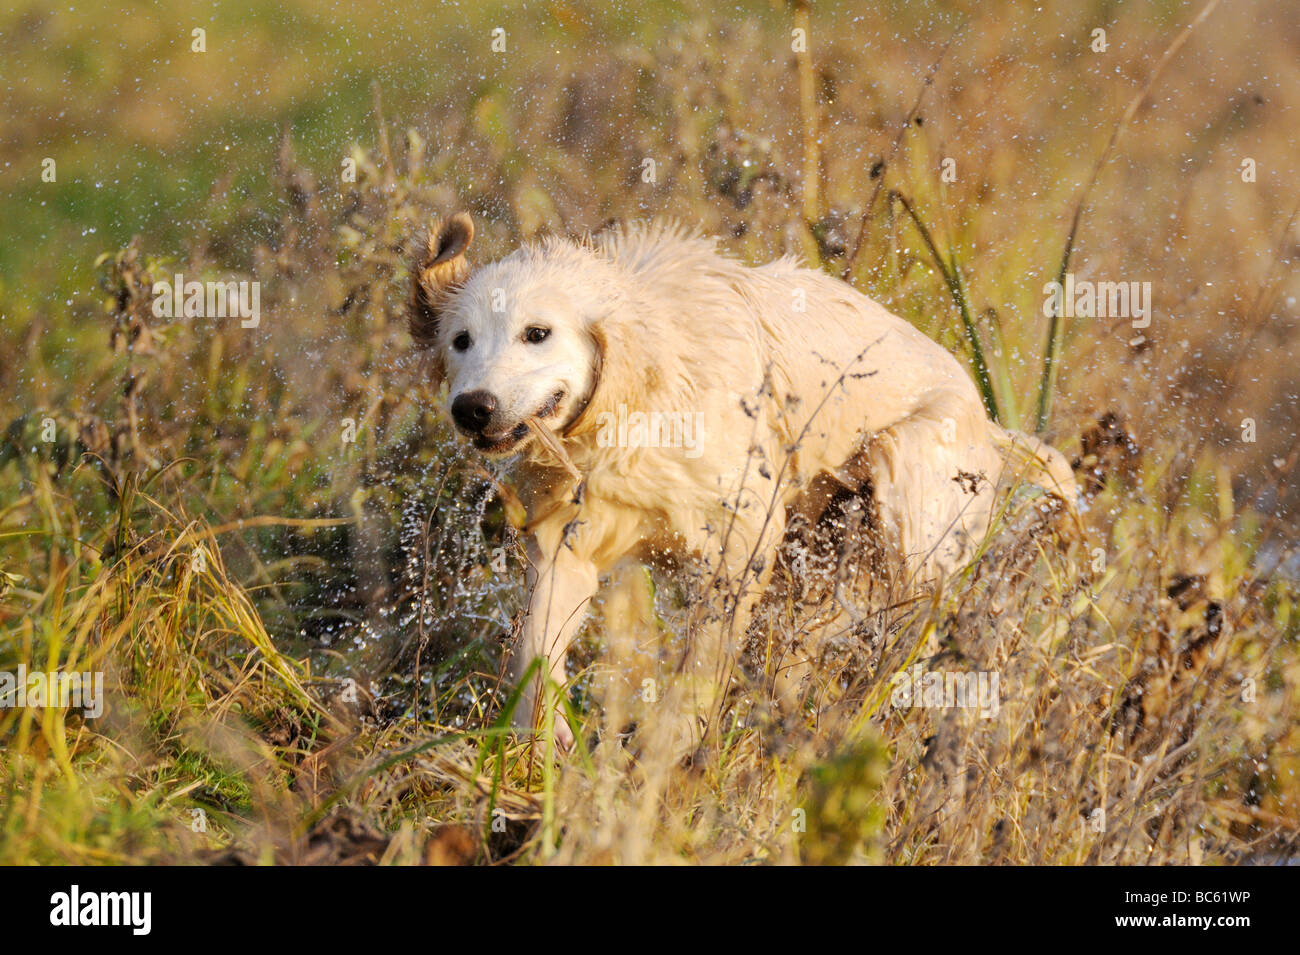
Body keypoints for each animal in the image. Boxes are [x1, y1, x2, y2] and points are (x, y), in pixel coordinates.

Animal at [408, 213, 1076, 758]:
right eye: (461, 341)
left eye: (537, 333)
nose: (473, 408)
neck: (637, 402)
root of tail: (991, 426)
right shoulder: (568, 544)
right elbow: (535, 653)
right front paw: (546, 741)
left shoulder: (743, 539)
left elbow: (703, 664)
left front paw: (663, 748)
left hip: (902, 492)